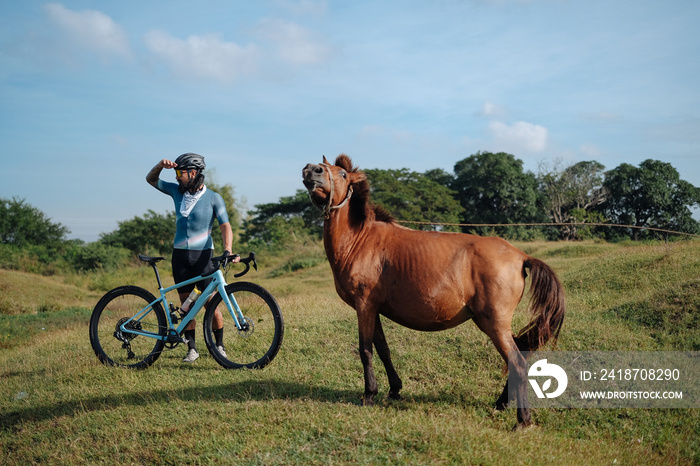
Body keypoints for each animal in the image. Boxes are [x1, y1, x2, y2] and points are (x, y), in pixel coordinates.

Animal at [304, 155, 568, 428]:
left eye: (343, 174)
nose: (312, 170)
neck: (360, 240)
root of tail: (520, 256)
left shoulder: (364, 305)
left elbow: (365, 350)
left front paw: (369, 394)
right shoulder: (374, 308)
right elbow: (384, 349)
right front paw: (394, 389)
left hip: (494, 323)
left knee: (517, 362)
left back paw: (522, 419)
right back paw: (501, 403)